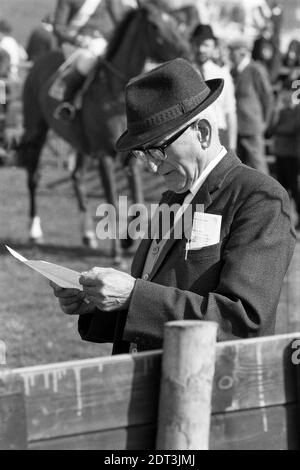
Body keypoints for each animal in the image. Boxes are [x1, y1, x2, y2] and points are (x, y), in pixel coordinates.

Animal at [18, 1, 192, 262]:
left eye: (173, 20)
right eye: (154, 25)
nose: (185, 49)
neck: (115, 96)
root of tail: (40, 60)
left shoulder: (131, 158)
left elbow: (139, 202)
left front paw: (129, 239)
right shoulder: (104, 157)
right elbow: (112, 202)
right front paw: (117, 251)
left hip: (79, 144)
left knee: (77, 177)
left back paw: (88, 235)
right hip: (36, 130)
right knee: (33, 177)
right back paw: (34, 230)